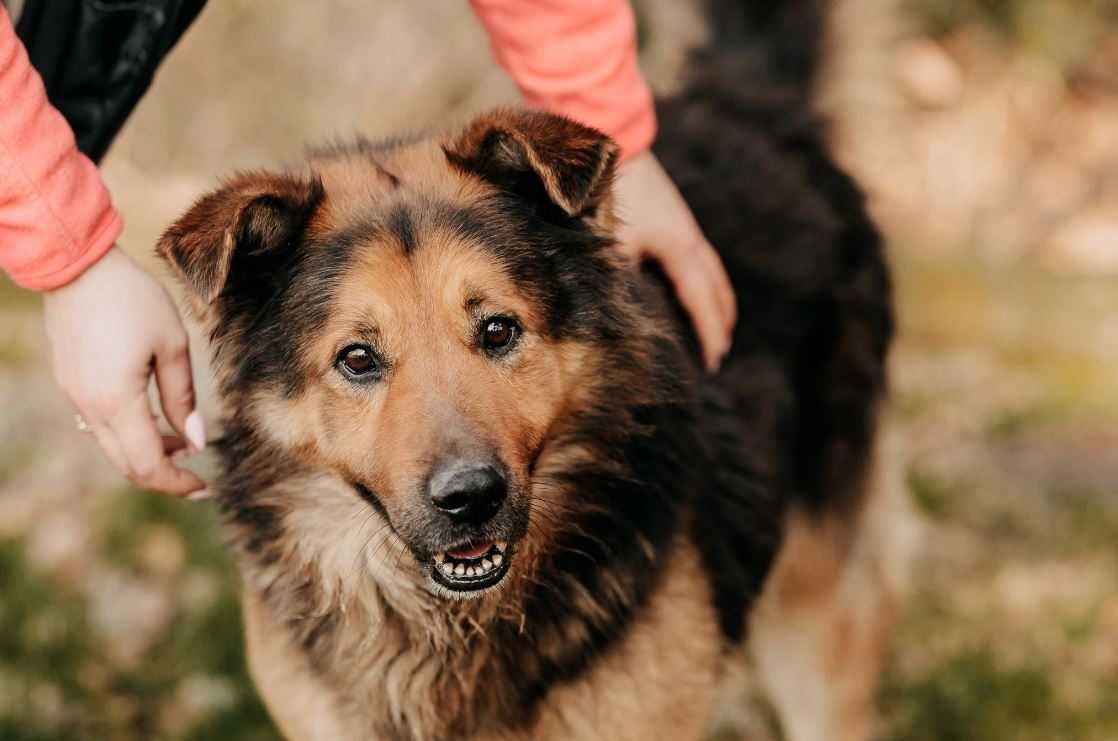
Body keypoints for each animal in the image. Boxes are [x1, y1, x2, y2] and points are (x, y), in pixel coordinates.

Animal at [157, 2, 903, 737]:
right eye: (358, 359)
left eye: (498, 330)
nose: (470, 498)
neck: (453, 629)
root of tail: (742, 101)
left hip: (815, 612)